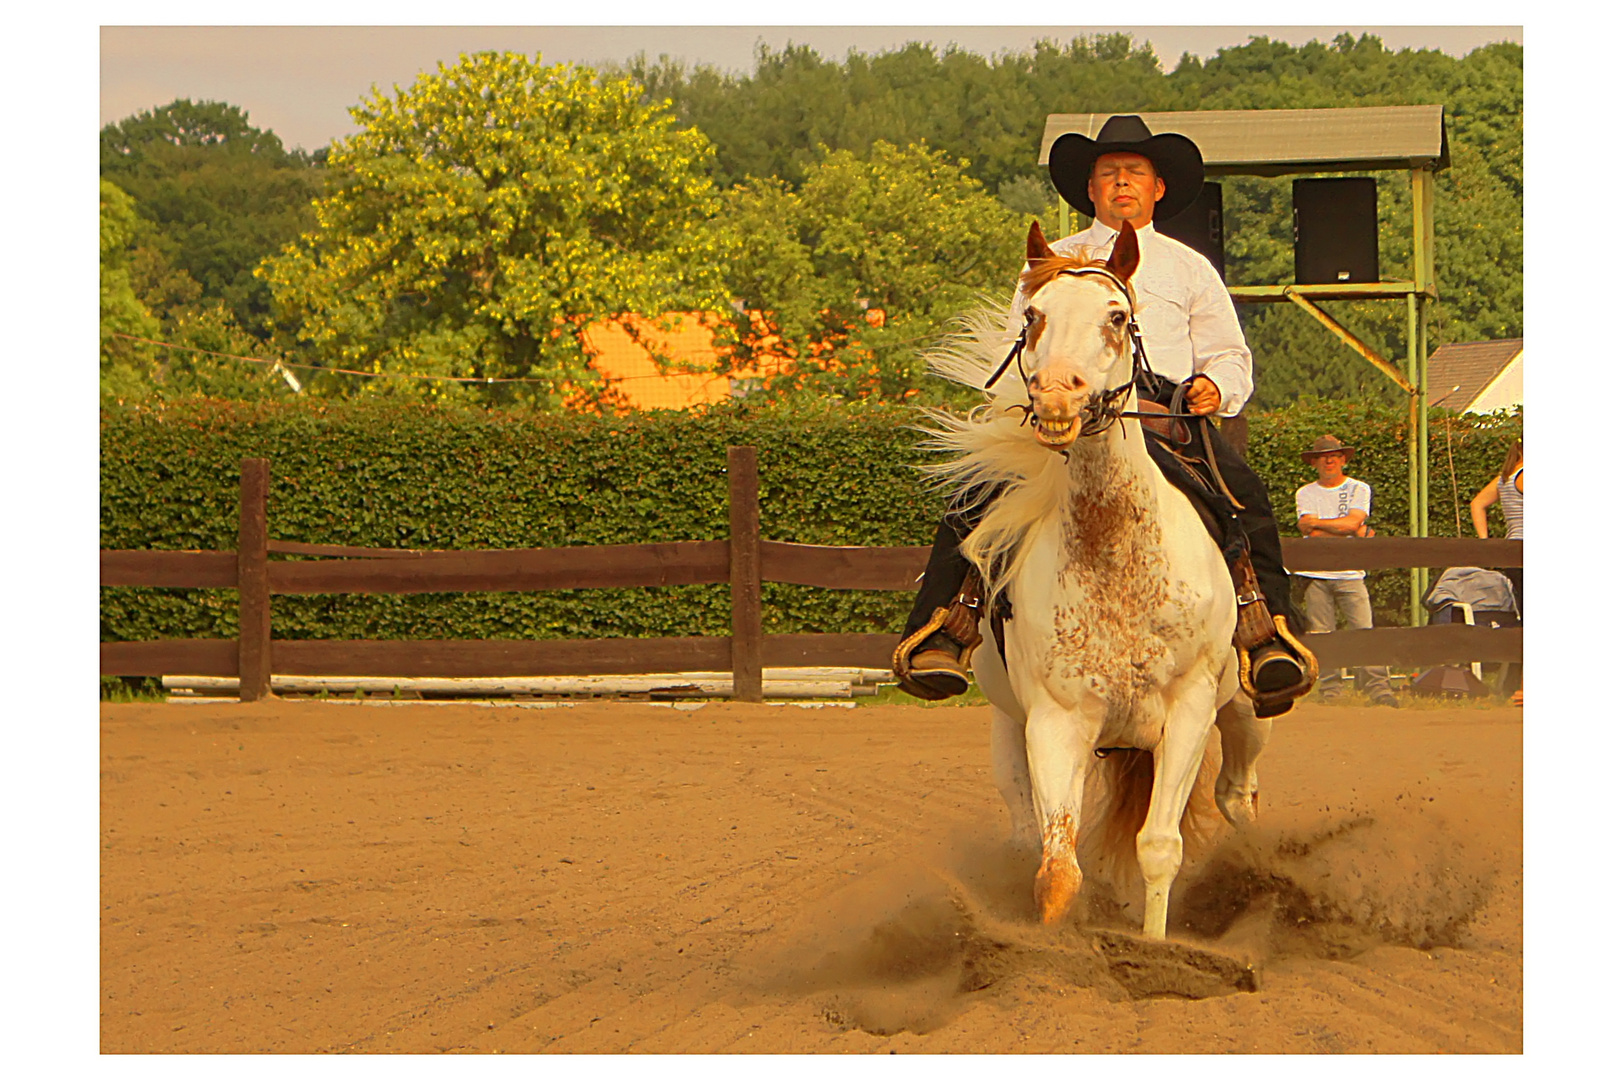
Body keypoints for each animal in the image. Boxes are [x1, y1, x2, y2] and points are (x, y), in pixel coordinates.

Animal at [921, 219, 1272, 935]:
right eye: (1032, 315)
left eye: (1116, 315)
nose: (1058, 395)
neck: (1115, 562)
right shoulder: (1055, 721)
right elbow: (1057, 869)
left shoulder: (1190, 707)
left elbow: (1159, 847)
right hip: (1009, 729)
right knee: (1027, 831)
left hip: (1247, 707)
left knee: (1236, 794)